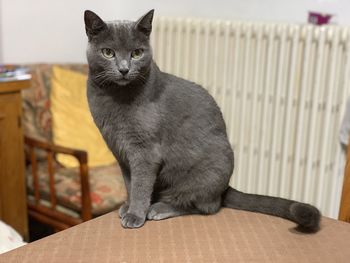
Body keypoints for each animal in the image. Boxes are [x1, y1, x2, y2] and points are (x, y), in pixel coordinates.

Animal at [84, 9, 320, 233]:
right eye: (108, 52)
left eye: (137, 53)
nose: (124, 69)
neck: (114, 99)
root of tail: (225, 187)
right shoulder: (121, 152)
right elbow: (129, 183)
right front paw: (128, 206)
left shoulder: (145, 152)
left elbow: (141, 185)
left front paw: (135, 214)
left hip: (205, 172)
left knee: (203, 205)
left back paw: (159, 208)